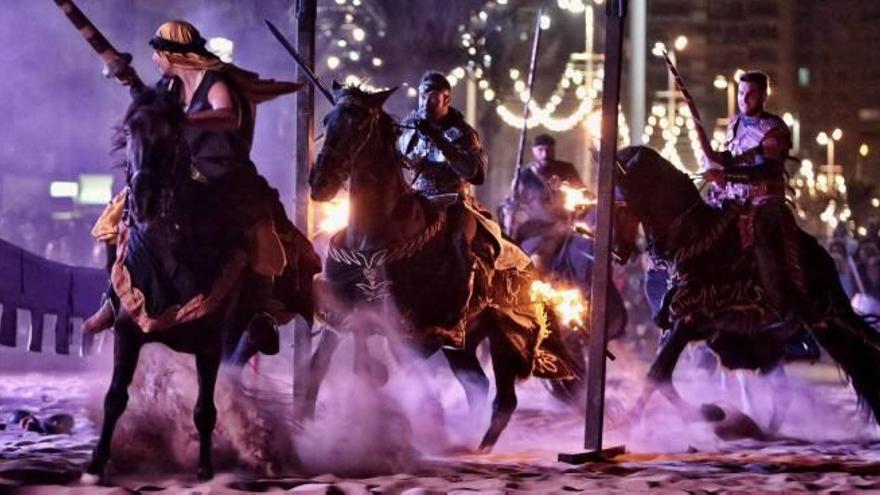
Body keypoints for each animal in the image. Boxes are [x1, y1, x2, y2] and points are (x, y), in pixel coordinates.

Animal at [84, 88, 318, 480]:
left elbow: (205, 408)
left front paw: (206, 468)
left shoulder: (210, 342)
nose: (144, 200)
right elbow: (115, 398)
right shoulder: (127, 331)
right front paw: (96, 464)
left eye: (174, 135)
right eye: (130, 131)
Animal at [612, 145, 880, 428]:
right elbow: (661, 374)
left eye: (620, 202)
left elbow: (658, 372)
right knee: (786, 389)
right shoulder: (679, 323)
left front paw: (631, 422)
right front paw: (706, 412)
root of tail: (826, 261)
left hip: (824, 321)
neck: (694, 236)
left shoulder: (690, 320)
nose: (617, 253)